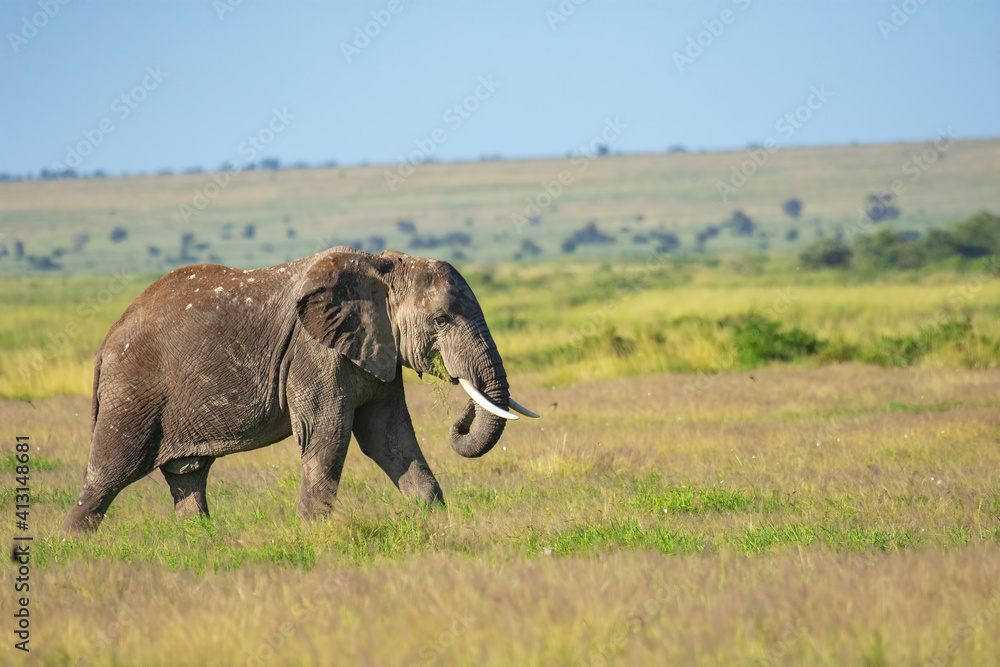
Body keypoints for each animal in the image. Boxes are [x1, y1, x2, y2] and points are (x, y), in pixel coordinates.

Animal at [61, 246, 538, 533]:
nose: (461, 413)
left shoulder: (375, 349)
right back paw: (72, 546)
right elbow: (328, 434)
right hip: (133, 391)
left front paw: (435, 520)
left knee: (187, 476)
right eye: (441, 320)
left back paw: (199, 541)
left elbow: (390, 438)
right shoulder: (314, 351)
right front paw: (314, 535)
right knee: (109, 472)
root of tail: (106, 343)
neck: (381, 267)